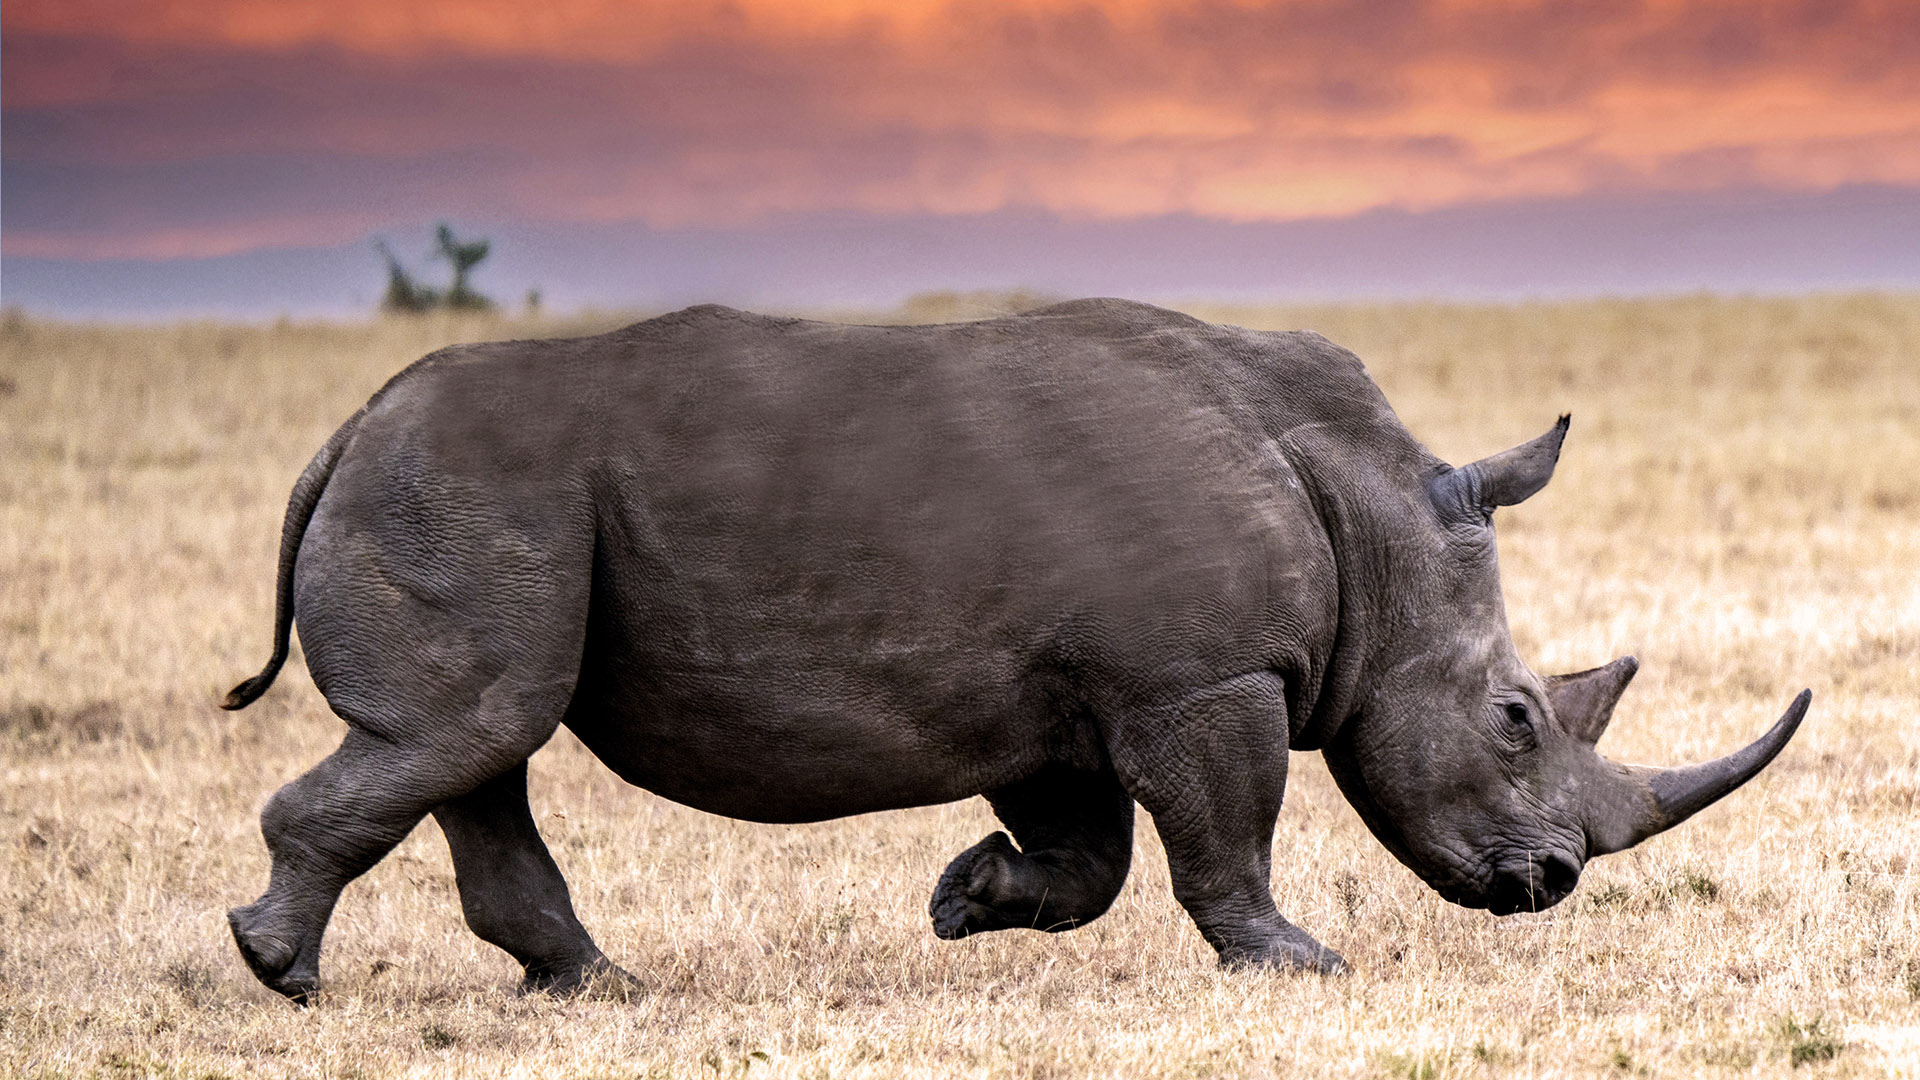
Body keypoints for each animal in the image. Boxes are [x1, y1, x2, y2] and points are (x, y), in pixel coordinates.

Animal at [222, 299, 1809, 1002]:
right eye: (1519, 719)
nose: (1545, 886)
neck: (1370, 510)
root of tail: (340, 431)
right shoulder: (1200, 679)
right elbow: (1226, 838)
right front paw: (1303, 966)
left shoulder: (1072, 695)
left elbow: (1092, 860)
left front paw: (963, 900)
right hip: (472, 488)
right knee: (467, 731)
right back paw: (281, 975)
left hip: (480, 499)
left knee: (482, 741)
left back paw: (595, 990)